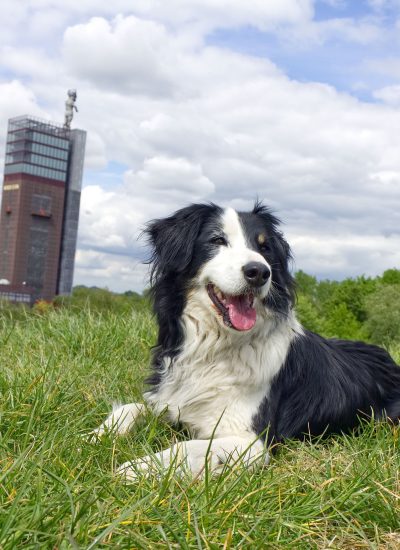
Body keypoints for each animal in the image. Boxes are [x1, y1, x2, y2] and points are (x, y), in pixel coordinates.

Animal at [97, 203, 400, 478]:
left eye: (264, 248)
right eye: (217, 240)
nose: (259, 272)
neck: (214, 348)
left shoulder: (252, 441)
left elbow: (187, 447)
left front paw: (137, 468)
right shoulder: (169, 400)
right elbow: (132, 407)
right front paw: (98, 435)